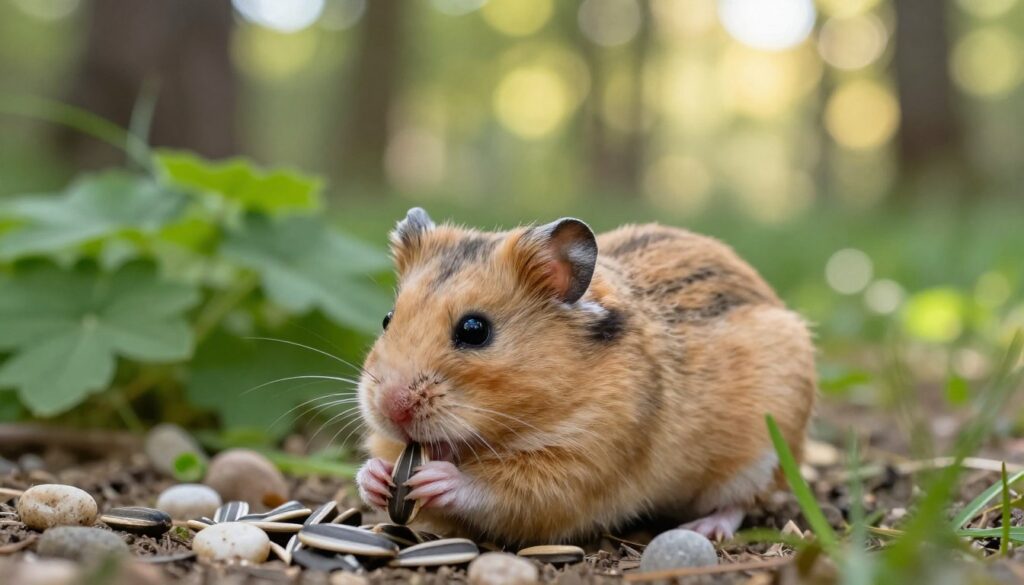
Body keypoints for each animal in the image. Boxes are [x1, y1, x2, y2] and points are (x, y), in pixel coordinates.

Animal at [355, 208, 816, 544]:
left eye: (474, 330)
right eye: (387, 319)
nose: (390, 408)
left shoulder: (580, 468)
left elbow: (495, 489)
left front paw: (437, 477)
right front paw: (376, 476)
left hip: (763, 453)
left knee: (742, 501)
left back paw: (704, 528)